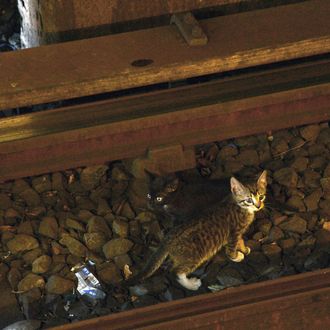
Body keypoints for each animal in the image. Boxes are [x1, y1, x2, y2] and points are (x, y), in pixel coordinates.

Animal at [127, 171, 266, 290]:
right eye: (248, 200)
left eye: (262, 196)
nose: (259, 206)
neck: (239, 206)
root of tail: (168, 239)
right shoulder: (233, 233)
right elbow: (231, 248)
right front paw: (236, 257)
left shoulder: (238, 233)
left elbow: (240, 241)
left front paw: (244, 249)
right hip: (194, 256)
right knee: (175, 272)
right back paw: (192, 284)